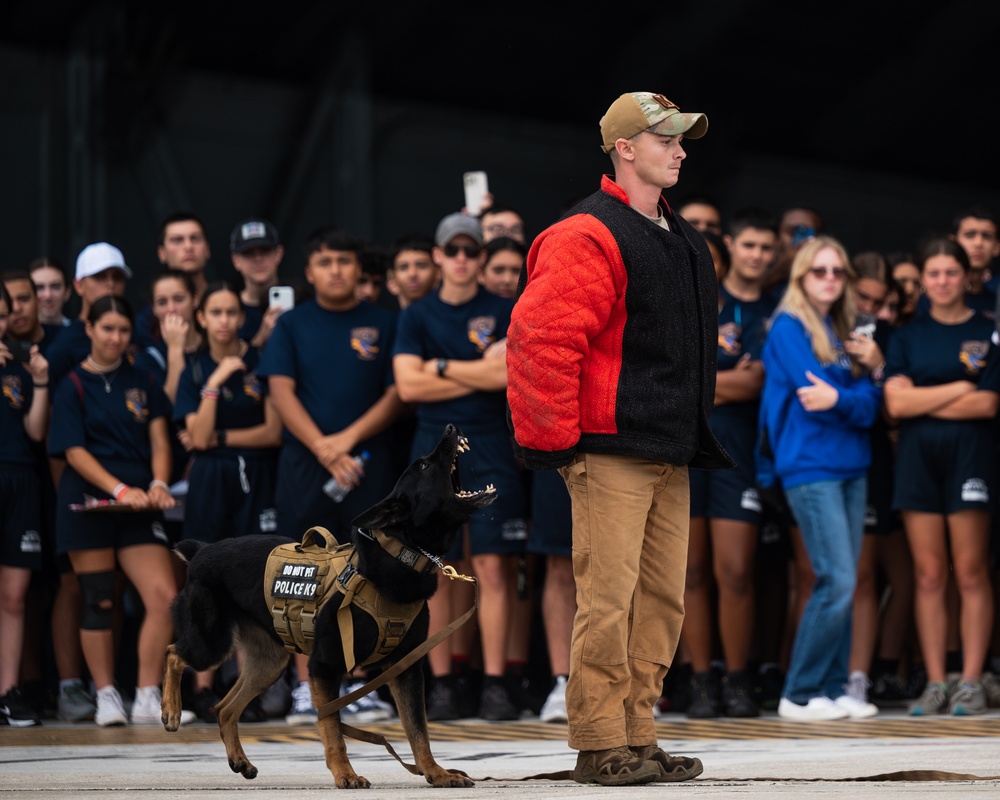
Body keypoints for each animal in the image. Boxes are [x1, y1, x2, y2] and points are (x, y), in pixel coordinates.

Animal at [161, 424, 500, 788]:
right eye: (423, 465)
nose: (451, 427)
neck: (401, 552)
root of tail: (202, 550)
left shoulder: (406, 670)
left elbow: (418, 730)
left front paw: (435, 772)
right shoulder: (325, 666)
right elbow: (332, 727)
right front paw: (345, 775)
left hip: (268, 663)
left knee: (224, 708)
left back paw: (240, 760)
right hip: (212, 645)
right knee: (174, 653)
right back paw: (171, 711)